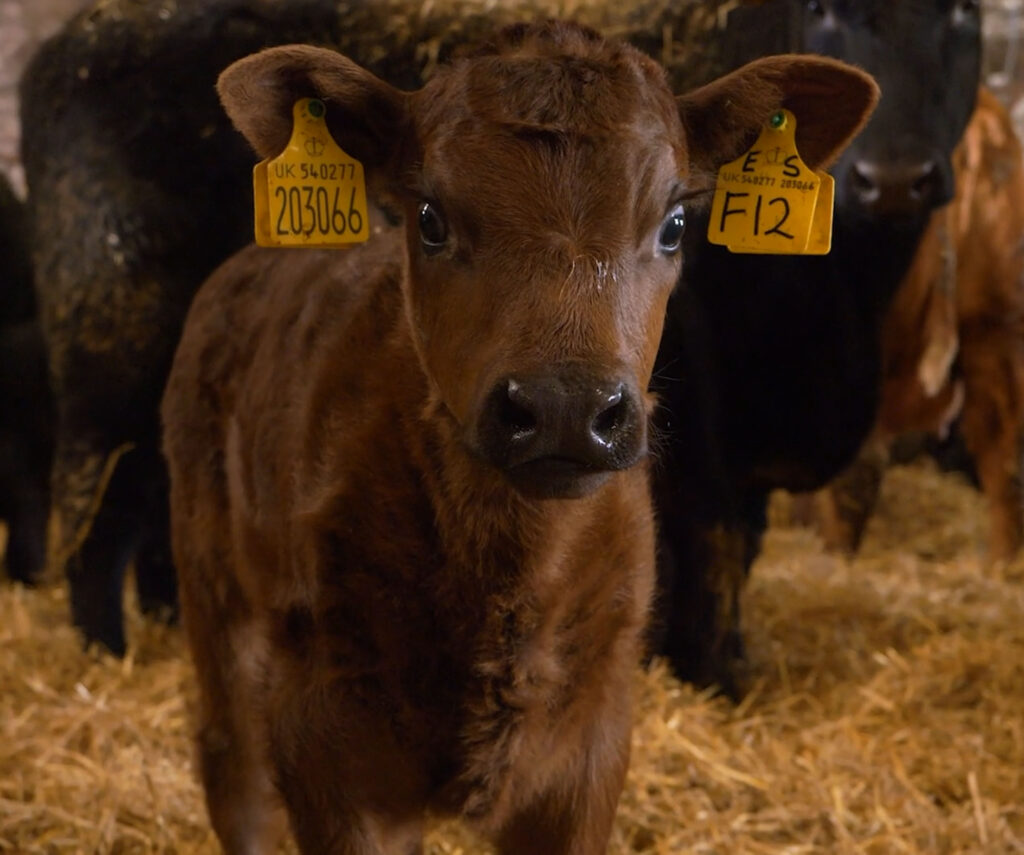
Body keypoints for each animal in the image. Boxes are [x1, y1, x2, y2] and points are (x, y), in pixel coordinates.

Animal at [163, 20, 876, 855]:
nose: (566, 405)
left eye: (673, 225)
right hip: (216, 588)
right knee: (233, 770)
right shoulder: (330, 739)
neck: (509, 573)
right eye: (430, 218)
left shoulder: (591, 744)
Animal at [655, 0, 983, 696]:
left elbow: (746, 539)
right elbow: (712, 534)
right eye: (820, 9)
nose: (894, 182)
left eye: (963, 12)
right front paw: (711, 675)